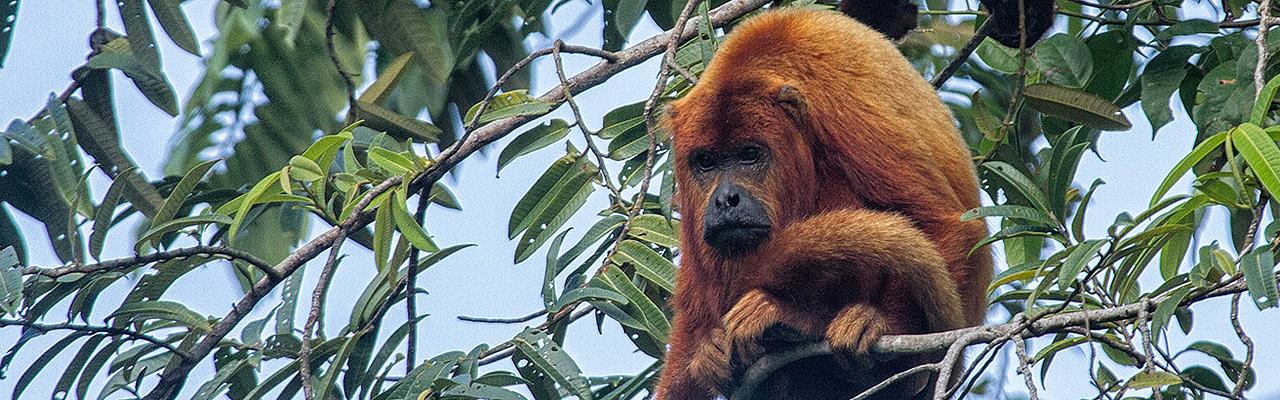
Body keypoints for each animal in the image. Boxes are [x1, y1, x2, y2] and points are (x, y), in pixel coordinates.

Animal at [655, 6, 993, 400]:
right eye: (705, 162)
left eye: (750, 154)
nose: (726, 199)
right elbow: (691, 307)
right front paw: (707, 356)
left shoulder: (844, 110)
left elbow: (942, 221)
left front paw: (881, 322)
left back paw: (794, 321)